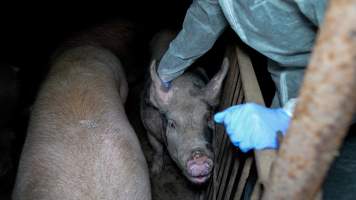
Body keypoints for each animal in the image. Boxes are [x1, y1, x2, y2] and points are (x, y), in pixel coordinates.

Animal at [140, 31, 228, 184]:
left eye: (208, 119)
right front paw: (155, 173)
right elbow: (157, 149)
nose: (199, 157)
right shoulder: (148, 127)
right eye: (172, 124)